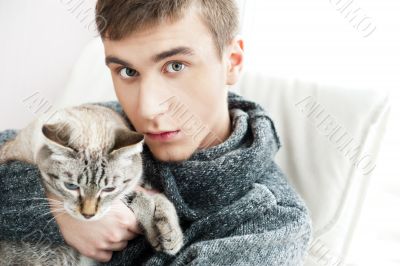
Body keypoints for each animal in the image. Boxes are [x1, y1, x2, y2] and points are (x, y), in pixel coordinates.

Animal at [0, 104, 184, 266]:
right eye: (71, 186)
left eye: (108, 189)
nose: (88, 215)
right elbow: (143, 197)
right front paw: (156, 233)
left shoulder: (134, 185)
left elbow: (159, 197)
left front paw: (172, 236)